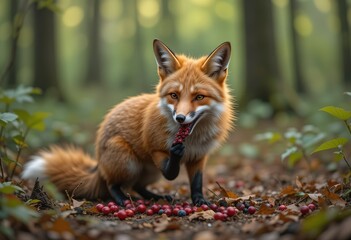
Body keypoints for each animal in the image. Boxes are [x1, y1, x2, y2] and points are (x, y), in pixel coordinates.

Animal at [23, 39, 235, 206]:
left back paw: (156, 197)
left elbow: (197, 183)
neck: (191, 140)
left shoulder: (199, 157)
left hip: (149, 172)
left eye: (199, 97)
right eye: (174, 95)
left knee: (137, 186)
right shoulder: (155, 149)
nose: (180, 118)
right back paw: (121, 199)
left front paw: (200, 200)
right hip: (128, 162)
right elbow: (171, 174)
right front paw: (175, 158)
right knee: (113, 185)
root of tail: (98, 165)